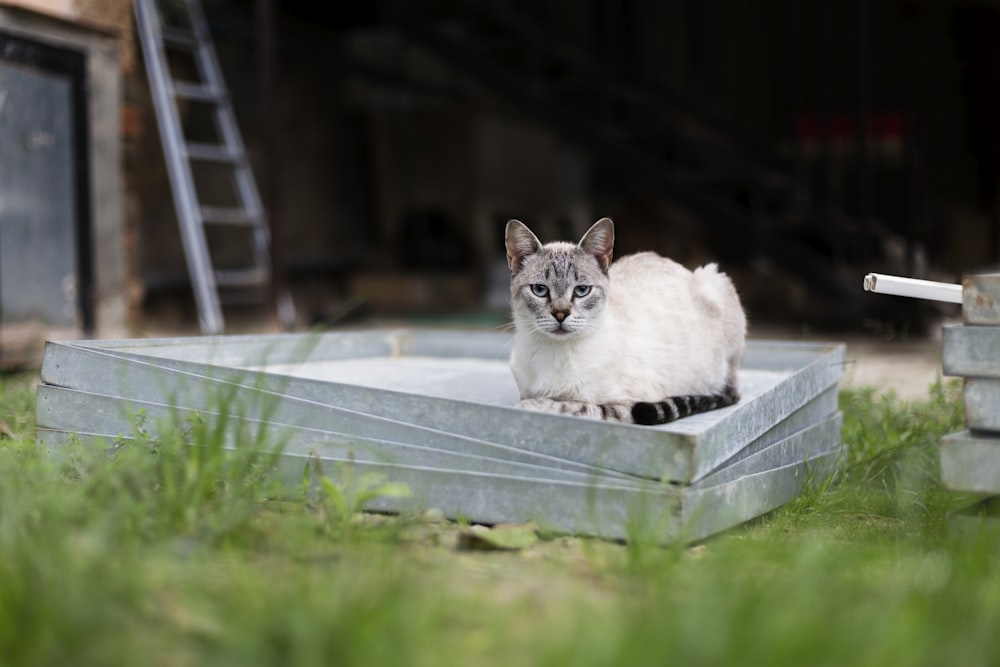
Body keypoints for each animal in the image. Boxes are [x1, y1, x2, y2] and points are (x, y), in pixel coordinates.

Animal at [504, 219, 748, 428]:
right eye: (539, 290)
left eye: (582, 291)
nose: (561, 314)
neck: (555, 353)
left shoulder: (625, 407)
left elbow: (570, 406)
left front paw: (529, 405)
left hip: (714, 282)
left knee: (729, 394)